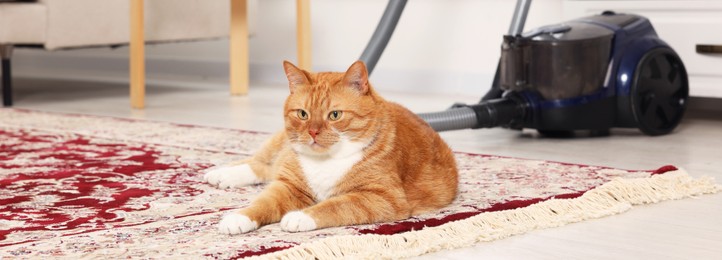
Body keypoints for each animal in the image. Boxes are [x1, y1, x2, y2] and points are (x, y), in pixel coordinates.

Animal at [202, 60, 456, 234]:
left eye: (335, 115)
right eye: (303, 114)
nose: (313, 132)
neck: (326, 160)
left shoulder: (383, 198)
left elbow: (335, 205)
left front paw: (300, 216)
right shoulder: (288, 186)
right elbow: (262, 203)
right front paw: (239, 217)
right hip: (282, 146)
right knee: (263, 163)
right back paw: (222, 174)